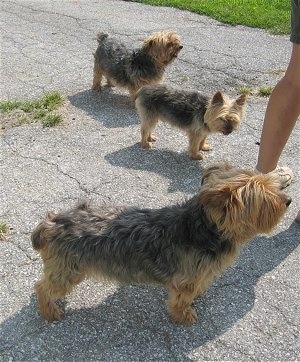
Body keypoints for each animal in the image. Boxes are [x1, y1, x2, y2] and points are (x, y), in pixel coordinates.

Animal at [31, 165, 290, 324]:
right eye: (265, 198)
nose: (288, 200)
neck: (203, 228)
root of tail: (52, 221)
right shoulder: (185, 281)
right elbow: (181, 301)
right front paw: (184, 315)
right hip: (68, 271)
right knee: (42, 288)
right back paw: (50, 311)